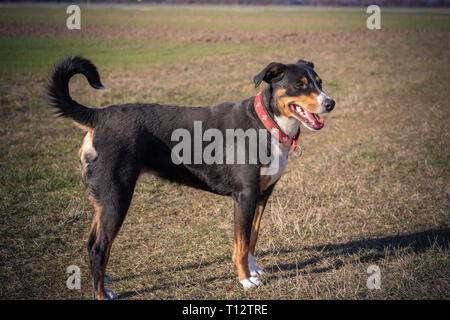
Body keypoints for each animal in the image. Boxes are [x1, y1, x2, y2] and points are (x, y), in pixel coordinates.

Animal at [46, 56, 334, 298]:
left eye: (319, 82)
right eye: (300, 84)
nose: (330, 103)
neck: (267, 124)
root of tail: (99, 115)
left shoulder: (261, 196)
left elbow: (252, 238)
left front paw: (253, 270)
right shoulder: (244, 196)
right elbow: (241, 245)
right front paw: (245, 279)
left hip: (104, 200)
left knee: (93, 243)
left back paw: (104, 279)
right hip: (115, 197)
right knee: (98, 246)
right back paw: (101, 293)